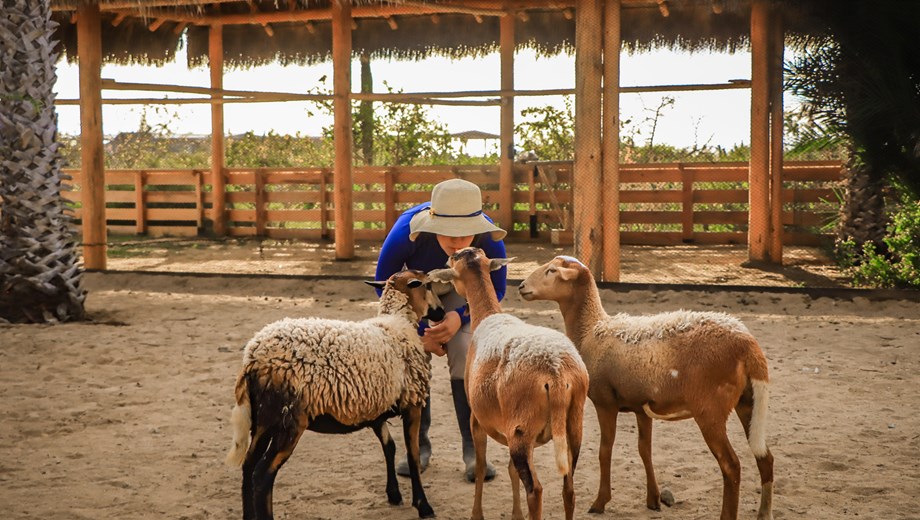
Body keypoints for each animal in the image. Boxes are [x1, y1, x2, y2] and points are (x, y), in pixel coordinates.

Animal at [228, 270, 448, 520]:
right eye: (428, 285)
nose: (442, 312)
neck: (397, 322)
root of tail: (253, 358)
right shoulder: (412, 404)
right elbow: (412, 456)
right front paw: (423, 505)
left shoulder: (376, 410)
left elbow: (389, 447)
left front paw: (393, 494)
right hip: (289, 422)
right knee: (262, 474)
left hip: (264, 419)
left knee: (248, 465)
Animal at [520, 256, 772, 520]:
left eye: (551, 271)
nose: (522, 286)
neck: (591, 330)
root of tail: (748, 344)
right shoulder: (641, 408)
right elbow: (645, 450)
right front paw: (653, 499)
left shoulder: (605, 402)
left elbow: (605, 450)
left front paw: (600, 502)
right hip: (748, 402)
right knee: (765, 458)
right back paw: (764, 512)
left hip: (710, 411)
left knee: (731, 466)